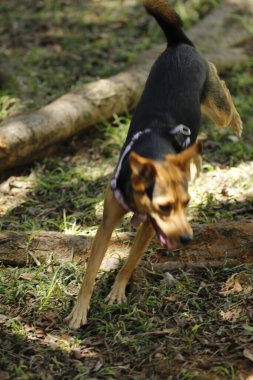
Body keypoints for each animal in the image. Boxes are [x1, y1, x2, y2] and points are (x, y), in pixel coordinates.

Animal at [65, 0, 243, 330]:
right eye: (165, 206)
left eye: (187, 203)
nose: (187, 239)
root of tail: (178, 44)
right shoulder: (108, 222)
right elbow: (91, 269)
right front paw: (80, 310)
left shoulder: (150, 229)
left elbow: (131, 260)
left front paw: (118, 290)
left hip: (215, 105)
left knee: (221, 87)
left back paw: (236, 122)